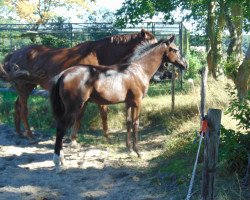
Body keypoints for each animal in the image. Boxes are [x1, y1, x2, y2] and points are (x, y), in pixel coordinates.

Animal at [0, 28, 156, 140]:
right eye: (151, 42)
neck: (97, 54)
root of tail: (14, 53)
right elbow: (96, 113)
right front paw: (104, 136)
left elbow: (95, 114)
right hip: (24, 87)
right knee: (24, 109)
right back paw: (30, 136)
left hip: (25, 87)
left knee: (17, 106)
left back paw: (20, 133)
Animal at [50, 35, 188, 173]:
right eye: (175, 49)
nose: (185, 64)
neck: (138, 70)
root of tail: (63, 74)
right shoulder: (137, 102)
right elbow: (136, 124)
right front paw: (138, 152)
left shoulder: (128, 103)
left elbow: (128, 123)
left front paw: (130, 150)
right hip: (74, 107)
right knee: (61, 128)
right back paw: (58, 162)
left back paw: (61, 160)